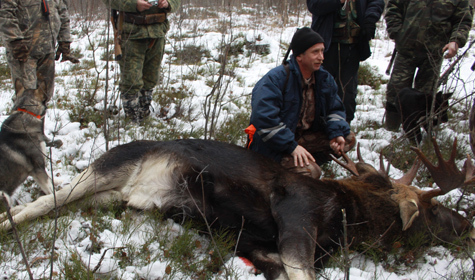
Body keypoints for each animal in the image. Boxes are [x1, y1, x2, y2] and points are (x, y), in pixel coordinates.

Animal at [0, 137, 474, 278]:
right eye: (432, 211)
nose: (466, 222)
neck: (350, 216)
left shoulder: (260, 248)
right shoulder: (297, 218)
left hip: (110, 196)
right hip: (105, 168)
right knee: (41, 202)